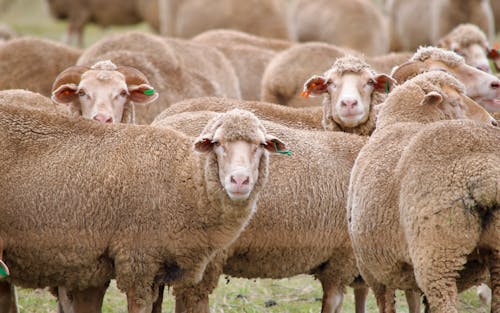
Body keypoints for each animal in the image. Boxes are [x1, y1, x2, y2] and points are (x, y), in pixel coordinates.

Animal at [346, 70, 498, 312]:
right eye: (454, 101)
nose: (494, 122)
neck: (405, 120)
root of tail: (483, 174)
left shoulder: (374, 271)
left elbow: (386, 305)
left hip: (437, 254)